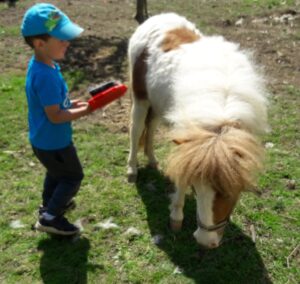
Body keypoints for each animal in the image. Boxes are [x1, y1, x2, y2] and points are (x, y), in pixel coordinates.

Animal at [126, 13, 268, 248]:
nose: (205, 241)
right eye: (195, 187)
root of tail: (155, 18)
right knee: (136, 130)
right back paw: (132, 170)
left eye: (229, 193)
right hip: (141, 99)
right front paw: (176, 217)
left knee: (151, 127)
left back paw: (153, 160)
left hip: (158, 104)